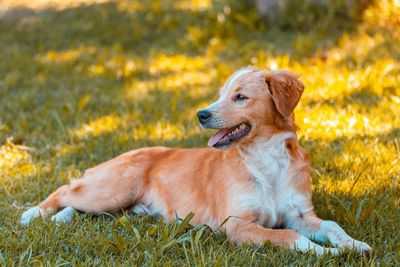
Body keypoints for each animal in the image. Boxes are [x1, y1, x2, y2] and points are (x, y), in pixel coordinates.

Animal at [19, 66, 372, 255]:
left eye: (240, 97)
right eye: (220, 94)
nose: (201, 115)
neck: (265, 159)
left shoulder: (300, 214)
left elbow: (332, 225)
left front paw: (353, 245)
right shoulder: (237, 225)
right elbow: (288, 236)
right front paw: (325, 253)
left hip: (118, 207)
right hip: (113, 190)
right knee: (66, 190)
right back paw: (33, 214)